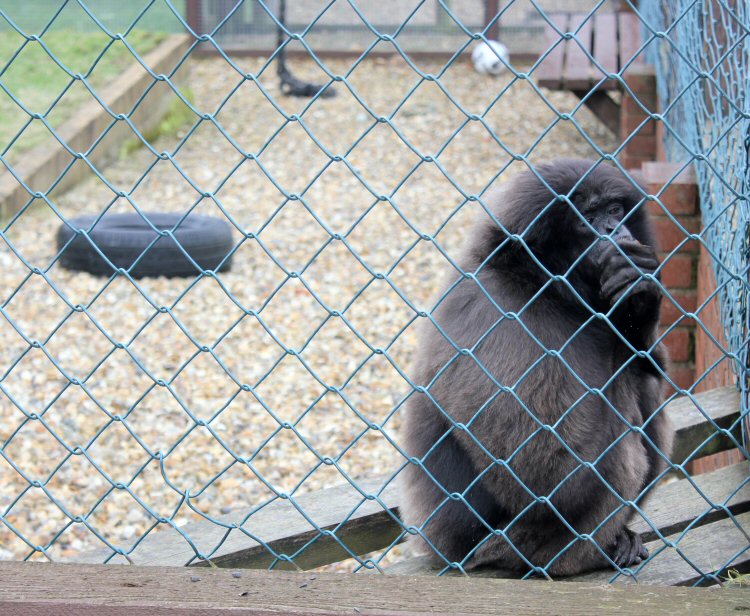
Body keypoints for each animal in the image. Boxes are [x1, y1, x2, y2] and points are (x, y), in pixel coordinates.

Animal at [400, 159, 673, 577]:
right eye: (587, 219)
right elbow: (547, 478)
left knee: (644, 383)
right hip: (513, 544)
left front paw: (637, 304)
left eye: (613, 210)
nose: (614, 229)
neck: (540, 283)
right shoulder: (500, 316)